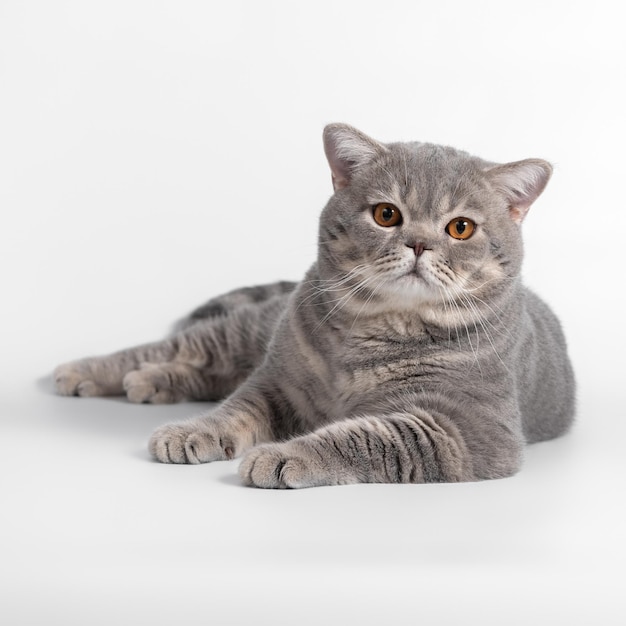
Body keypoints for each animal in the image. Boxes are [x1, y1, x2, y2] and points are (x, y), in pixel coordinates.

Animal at [54, 123, 576, 488]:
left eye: (461, 228)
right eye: (387, 214)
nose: (418, 244)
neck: (379, 332)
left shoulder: (464, 429)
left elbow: (368, 436)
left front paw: (286, 454)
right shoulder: (278, 381)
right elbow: (233, 410)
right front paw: (192, 431)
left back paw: (150, 382)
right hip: (246, 332)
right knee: (171, 351)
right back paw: (88, 371)